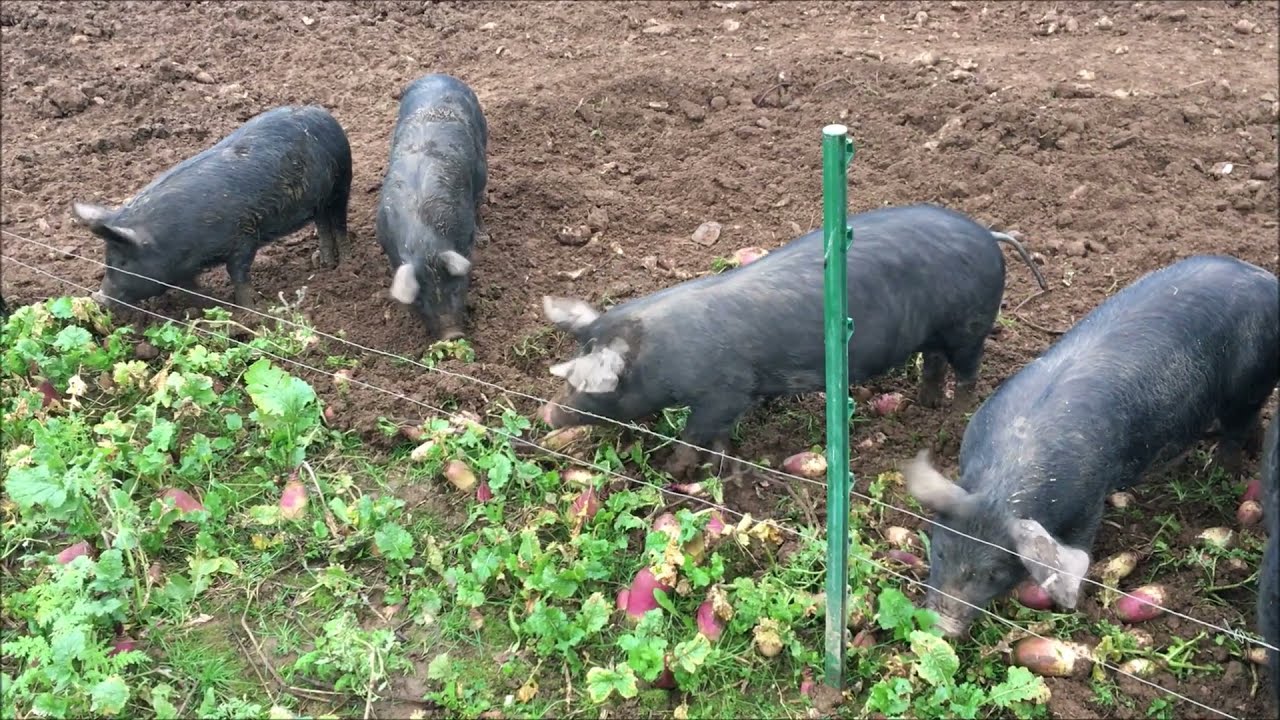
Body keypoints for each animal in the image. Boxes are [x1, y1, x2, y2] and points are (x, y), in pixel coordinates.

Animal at [71, 105, 352, 310]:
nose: (98, 298)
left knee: (337, 221)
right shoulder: (182, 270)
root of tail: (322, 113)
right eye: (107, 260)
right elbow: (192, 288)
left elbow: (238, 274)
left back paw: (341, 265)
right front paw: (211, 304)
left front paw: (249, 311)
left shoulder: (243, 237)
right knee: (322, 222)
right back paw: (323, 263)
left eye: (123, 261)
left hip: (341, 183)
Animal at [538, 203, 1048, 478]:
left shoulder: (724, 391)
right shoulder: (733, 396)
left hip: (971, 325)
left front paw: (674, 471)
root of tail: (988, 234)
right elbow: (718, 437)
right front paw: (721, 466)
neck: (660, 355)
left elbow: (696, 434)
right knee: (934, 361)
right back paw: (924, 404)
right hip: (937, 330)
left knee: (968, 372)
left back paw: (954, 419)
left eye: (588, 385)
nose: (547, 414)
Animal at [903, 254, 1280, 637]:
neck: (1007, 477)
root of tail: (1266, 278)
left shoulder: (1090, 495)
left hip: (1250, 383)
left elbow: (1081, 544)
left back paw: (1220, 472)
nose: (942, 627)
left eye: (994, 572)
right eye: (940, 552)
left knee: (1238, 428)